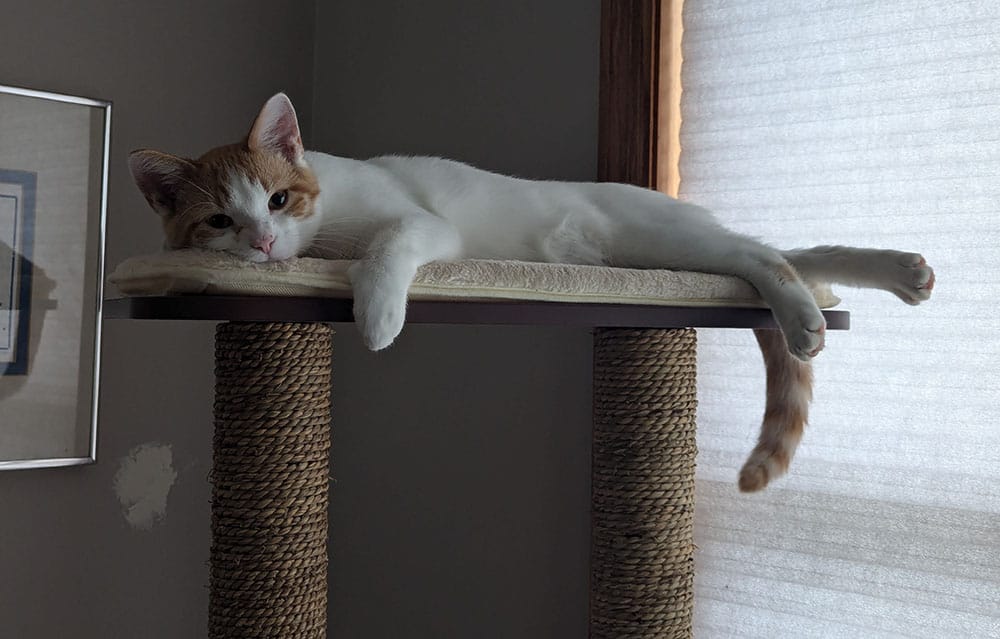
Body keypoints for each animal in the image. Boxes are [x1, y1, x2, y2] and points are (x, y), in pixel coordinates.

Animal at [129, 92, 932, 492]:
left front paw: (377, 314)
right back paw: (899, 274)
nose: (264, 244)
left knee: (762, 255)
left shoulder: (423, 225)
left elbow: (389, 249)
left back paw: (808, 314)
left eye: (278, 200)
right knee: (785, 253)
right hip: (663, 250)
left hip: (666, 243)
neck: (325, 211)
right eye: (220, 221)